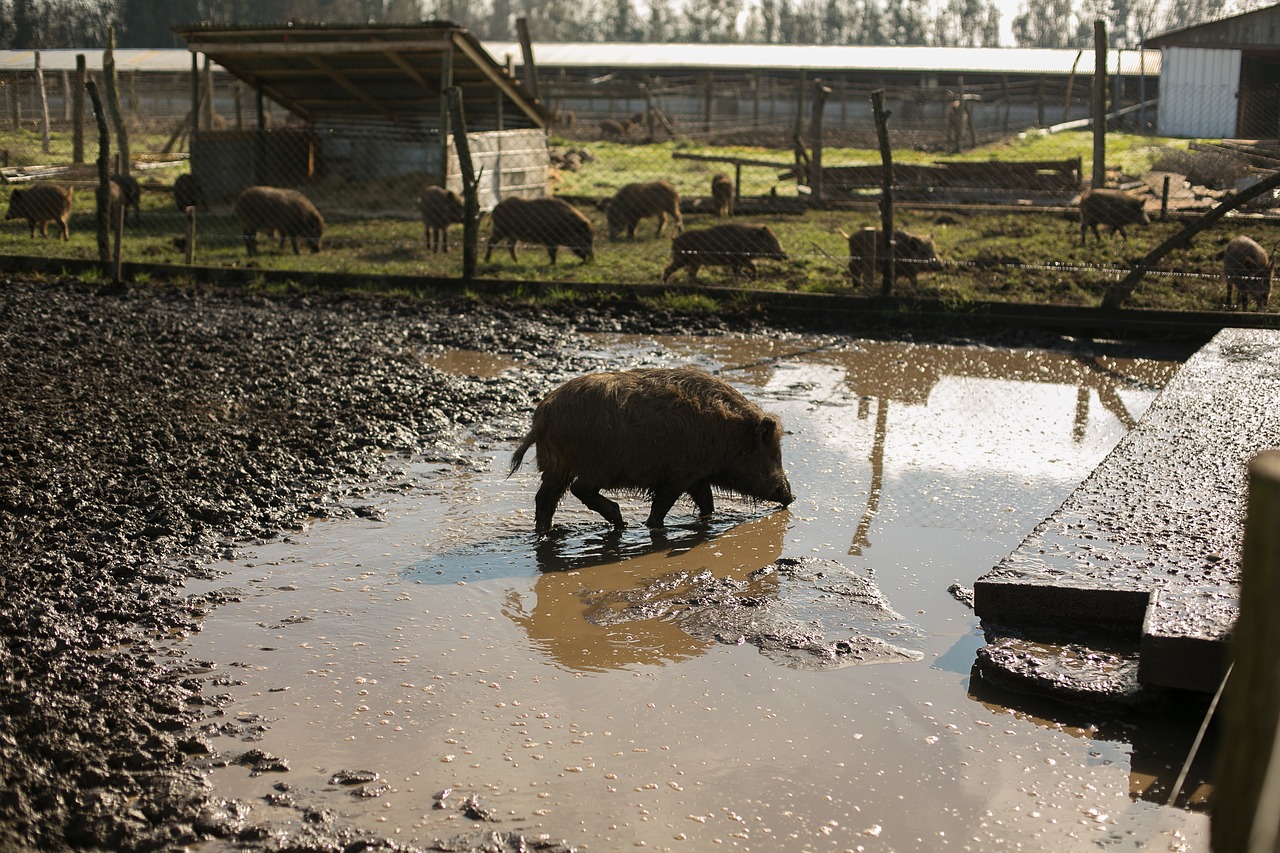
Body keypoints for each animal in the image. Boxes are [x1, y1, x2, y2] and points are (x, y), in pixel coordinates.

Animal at [506, 366, 788, 532]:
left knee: (545, 498)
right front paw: (653, 526)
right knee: (578, 489)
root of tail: (544, 413)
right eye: (773, 453)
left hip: (556, 466)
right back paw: (621, 522)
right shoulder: (679, 475)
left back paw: (546, 532)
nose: (790, 496)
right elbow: (662, 505)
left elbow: (706, 501)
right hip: (595, 467)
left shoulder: (696, 476)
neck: (728, 433)